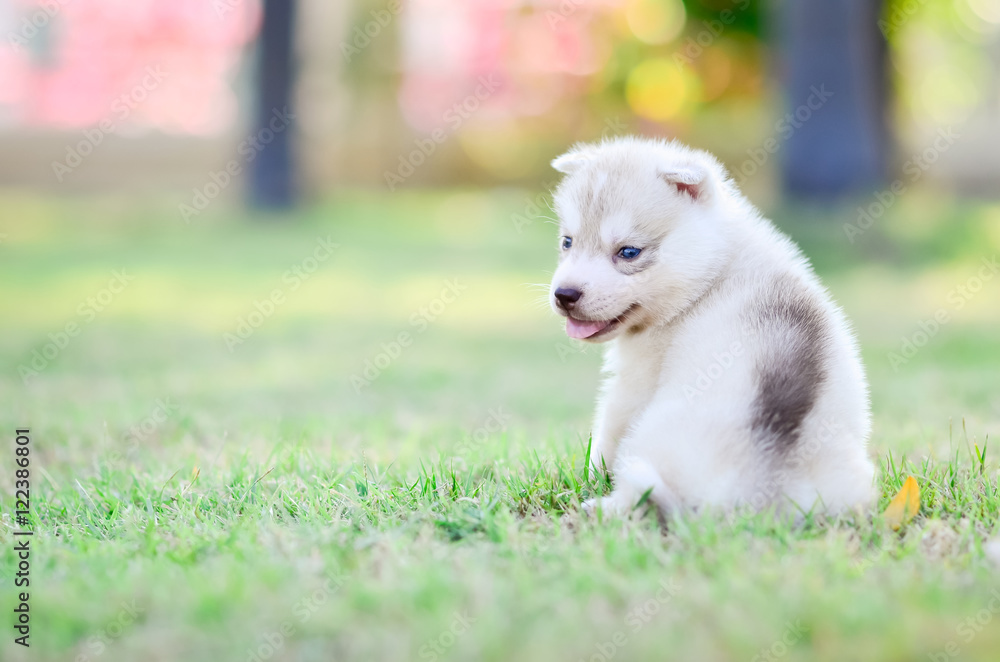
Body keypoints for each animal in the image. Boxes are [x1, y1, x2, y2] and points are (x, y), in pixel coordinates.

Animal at [548, 139, 876, 520]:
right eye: (567, 242)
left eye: (629, 252)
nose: (564, 295)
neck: (714, 269)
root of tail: (755, 485)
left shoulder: (635, 382)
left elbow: (608, 432)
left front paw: (589, 477)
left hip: (651, 439)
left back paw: (598, 506)